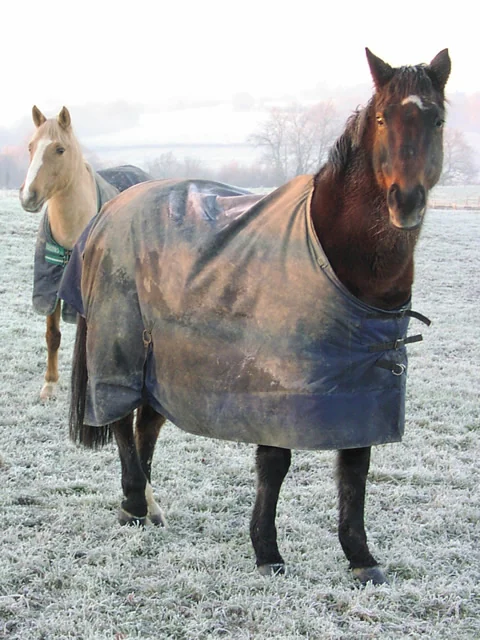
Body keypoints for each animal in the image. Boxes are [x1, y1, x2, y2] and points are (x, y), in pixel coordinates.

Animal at [19, 106, 152, 399]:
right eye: (30, 147)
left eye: (59, 149)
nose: (28, 197)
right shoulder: (50, 285)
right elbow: (53, 335)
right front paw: (50, 384)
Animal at [65, 48, 451, 585]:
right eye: (382, 119)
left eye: (437, 120)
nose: (406, 201)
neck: (336, 252)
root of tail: (109, 210)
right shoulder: (273, 384)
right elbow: (274, 463)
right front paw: (267, 551)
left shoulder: (364, 386)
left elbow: (355, 468)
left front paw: (361, 557)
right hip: (117, 345)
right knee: (122, 419)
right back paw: (134, 503)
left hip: (161, 356)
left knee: (147, 424)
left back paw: (147, 506)